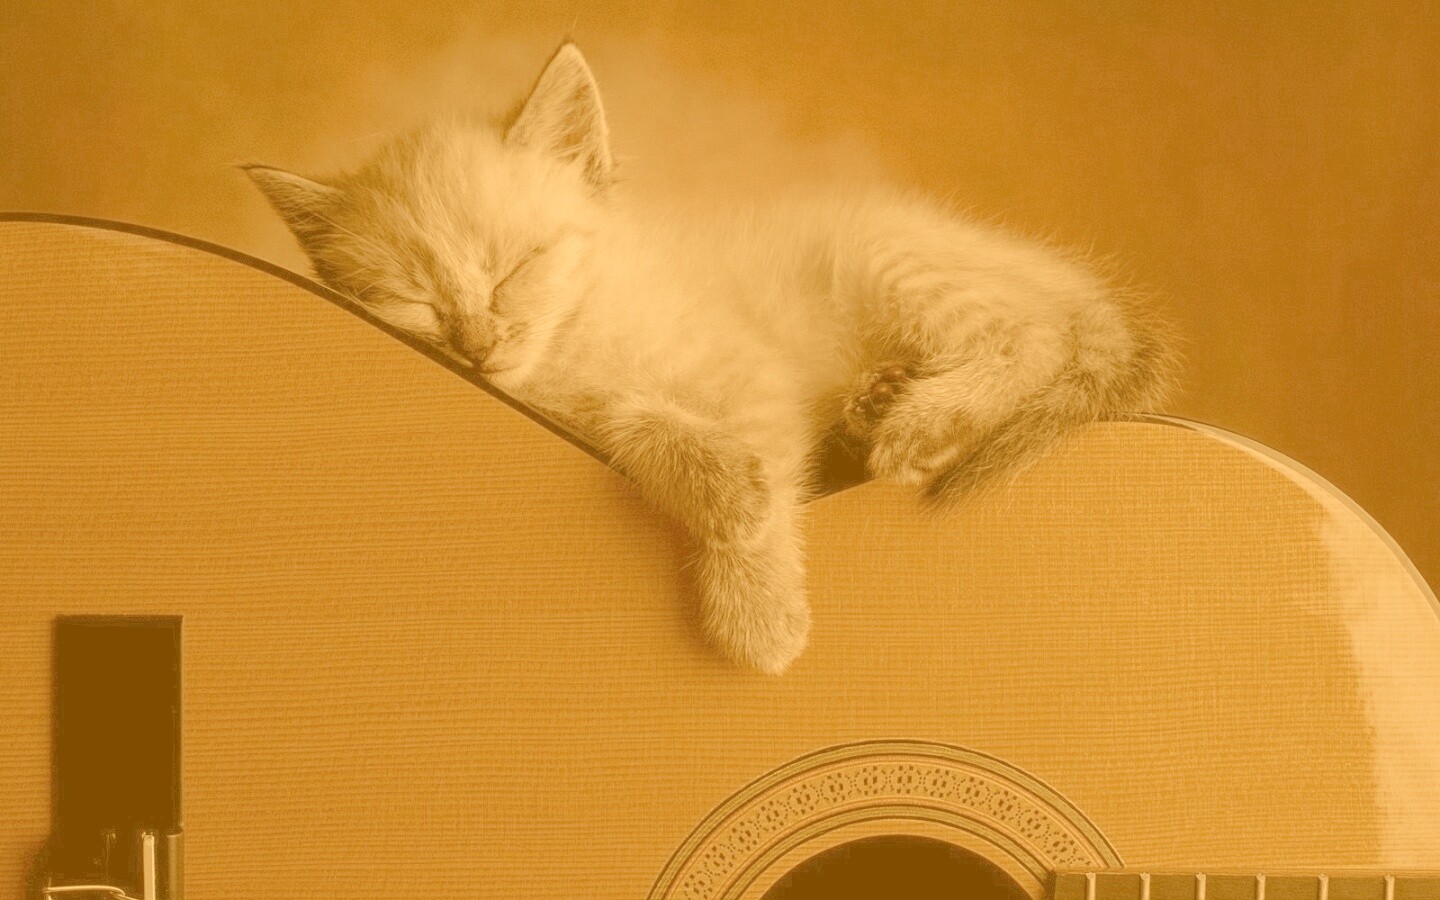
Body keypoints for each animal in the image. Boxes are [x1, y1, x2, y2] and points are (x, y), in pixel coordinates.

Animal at [245, 43, 1176, 675]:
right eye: (417, 303)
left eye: (516, 267)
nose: (479, 347)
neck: (571, 342)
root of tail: (1069, 278)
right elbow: (634, 419)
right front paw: (727, 500)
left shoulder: (751, 375)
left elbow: (763, 472)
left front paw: (759, 613)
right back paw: (874, 405)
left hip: (883, 256)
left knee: (1036, 336)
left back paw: (923, 422)